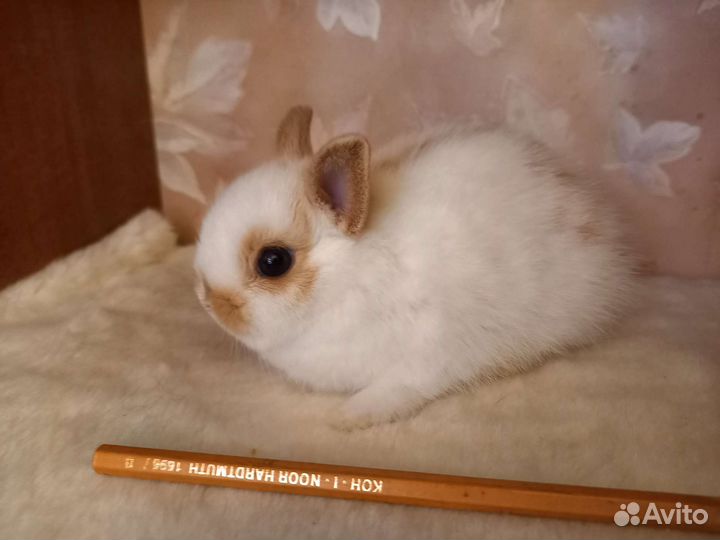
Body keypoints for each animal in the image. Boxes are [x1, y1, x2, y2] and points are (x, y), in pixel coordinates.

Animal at [194, 105, 635, 430]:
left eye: (273, 261)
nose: (208, 301)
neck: (349, 277)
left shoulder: (426, 355)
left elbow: (397, 390)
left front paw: (349, 417)